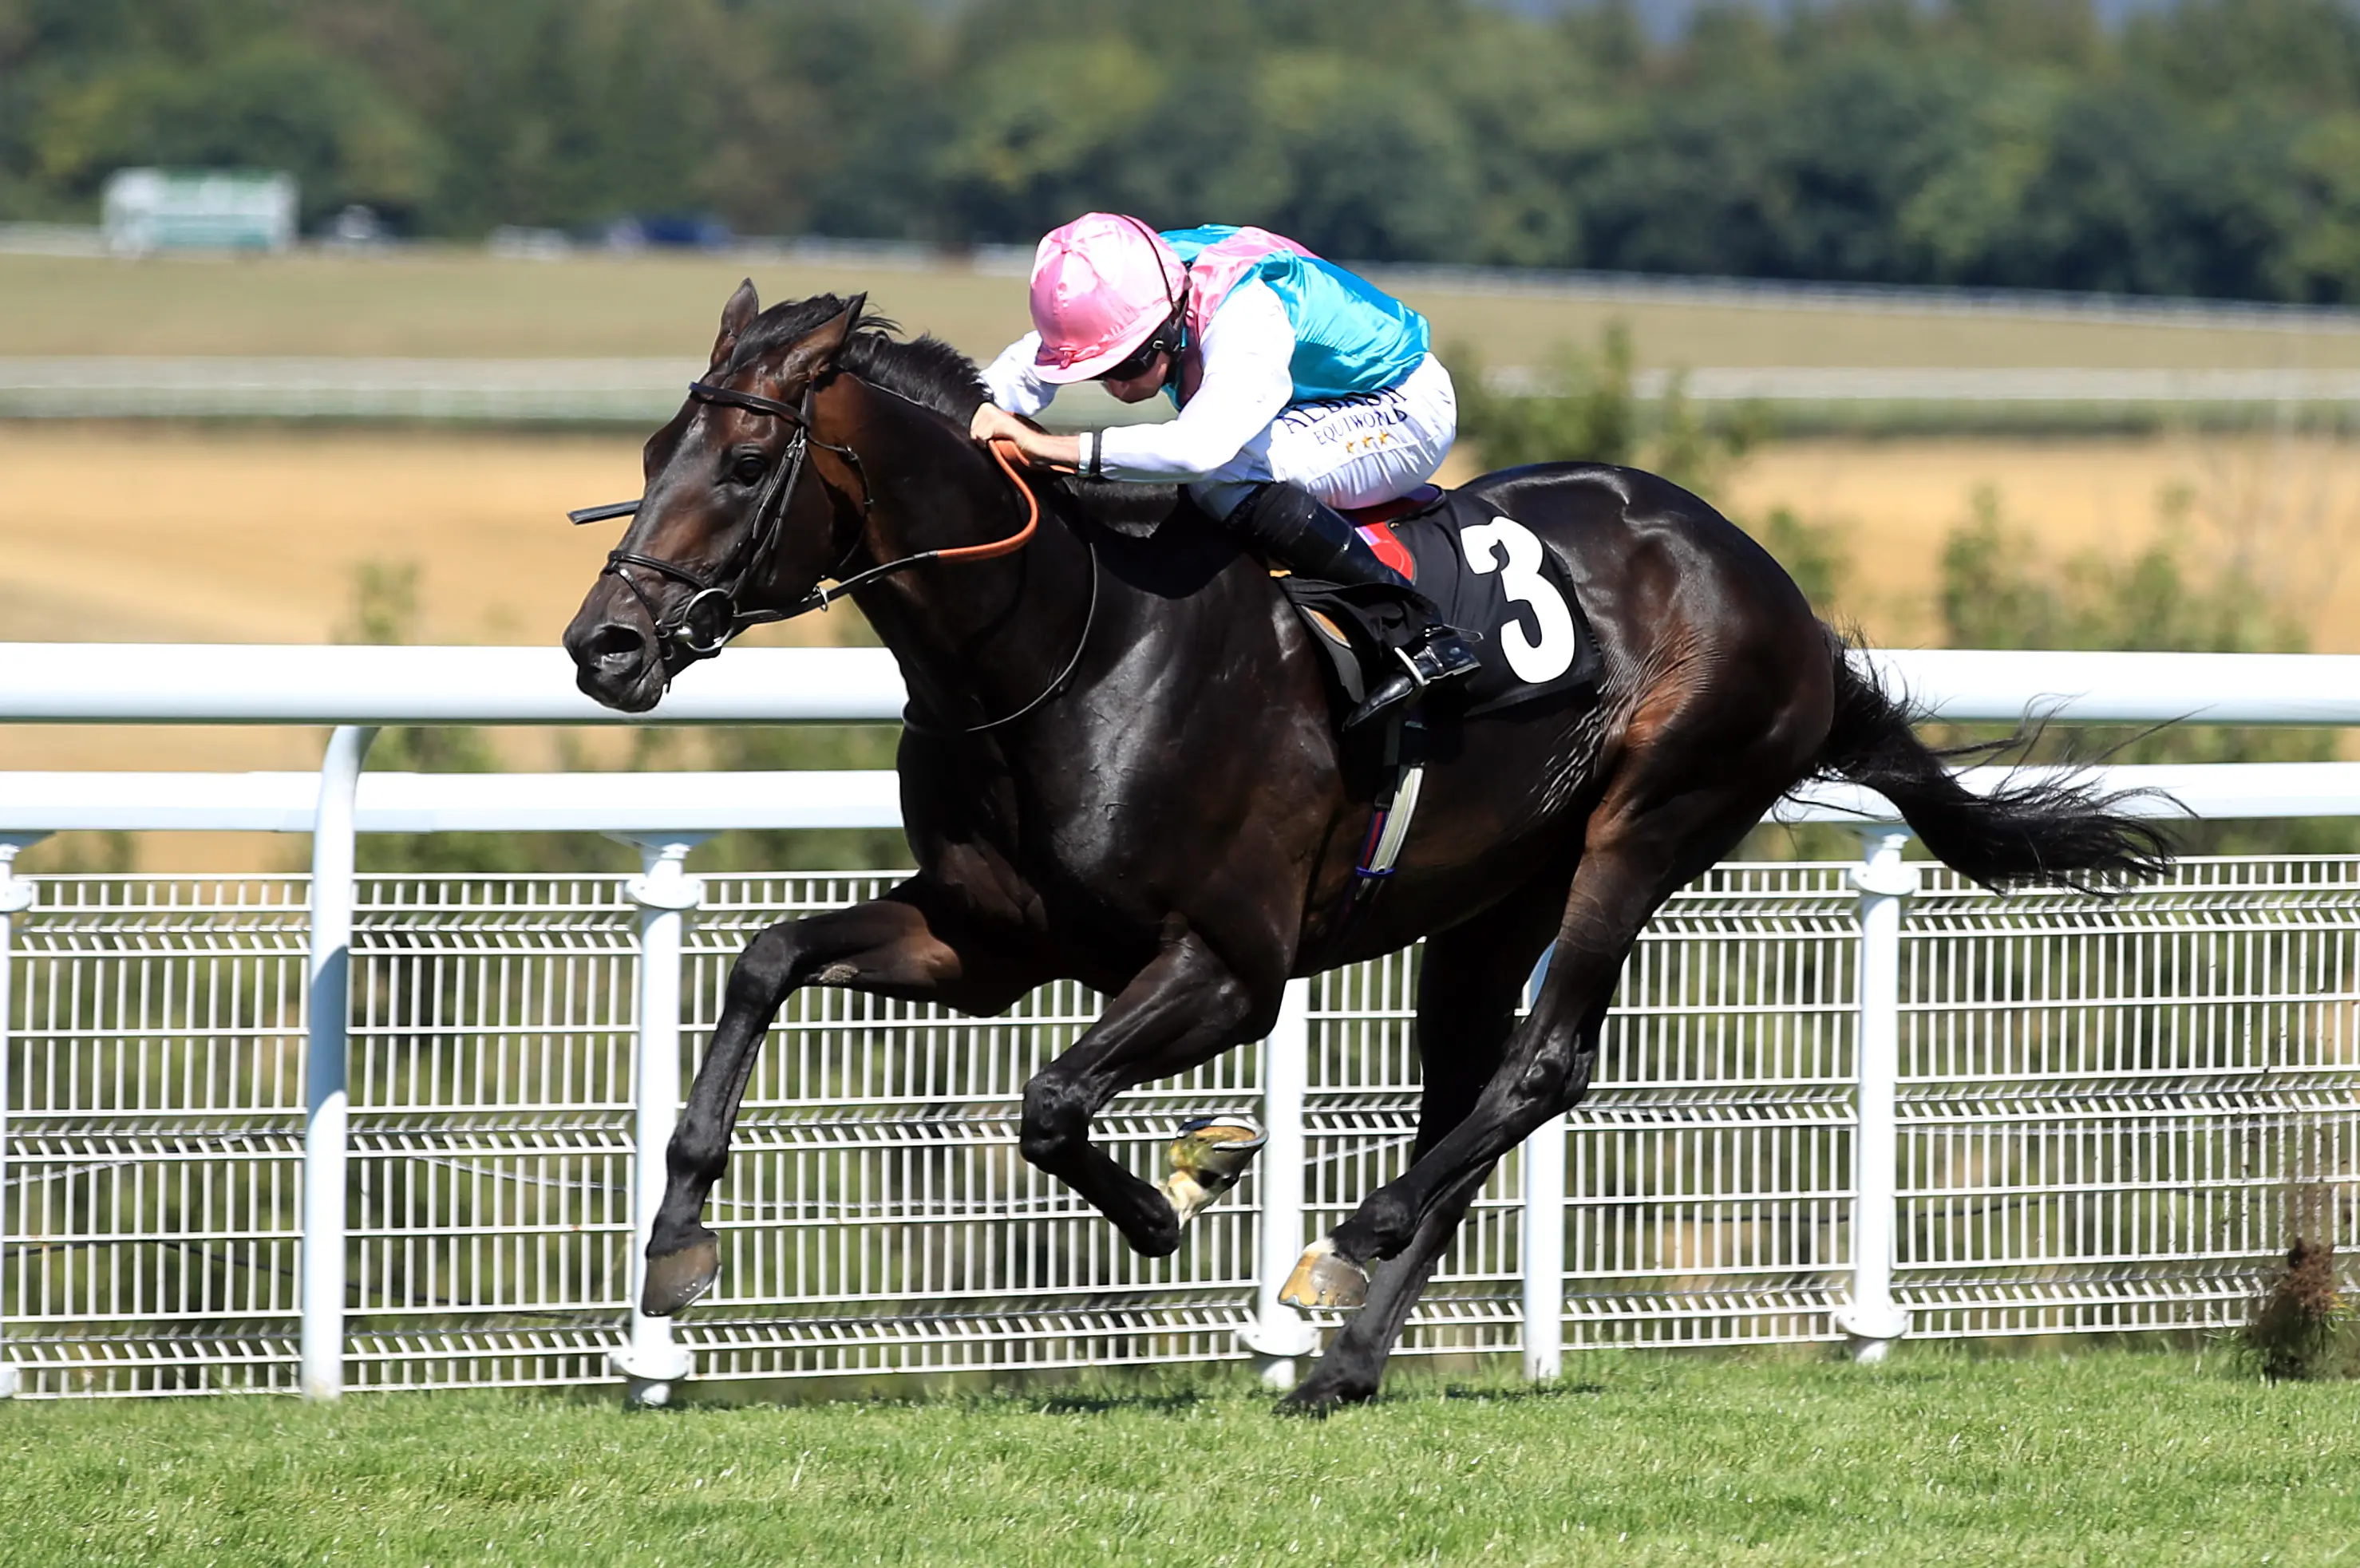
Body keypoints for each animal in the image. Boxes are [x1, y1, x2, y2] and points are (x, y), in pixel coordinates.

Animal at [561, 284, 2166, 1410]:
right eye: (650, 449)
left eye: (746, 456)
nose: (604, 645)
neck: (1068, 642)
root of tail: (1781, 597)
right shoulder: (986, 939)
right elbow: (768, 960)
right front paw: (675, 1240)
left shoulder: (1229, 965)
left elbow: (1052, 1104)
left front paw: (1184, 1189)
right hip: (1491, 895)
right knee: (1471, 1080)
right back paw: (1346, 1355)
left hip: (1647, 823)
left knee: (1544, 1065)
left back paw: (1353, 1235)